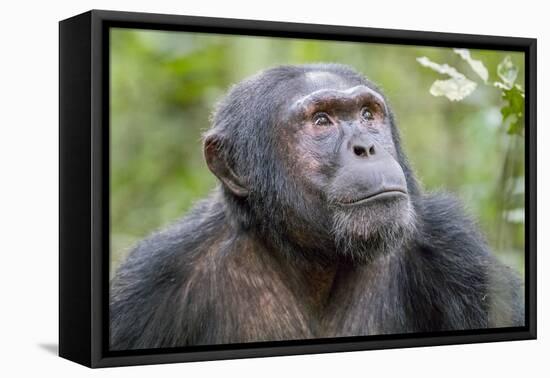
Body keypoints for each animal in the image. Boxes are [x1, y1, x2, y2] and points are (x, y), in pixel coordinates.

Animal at [109, 63, 528, 350]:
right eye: (322, 121)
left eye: (367, 115)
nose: (366, 146)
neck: (316, 258)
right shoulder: (148, 285)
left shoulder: (458, 253)